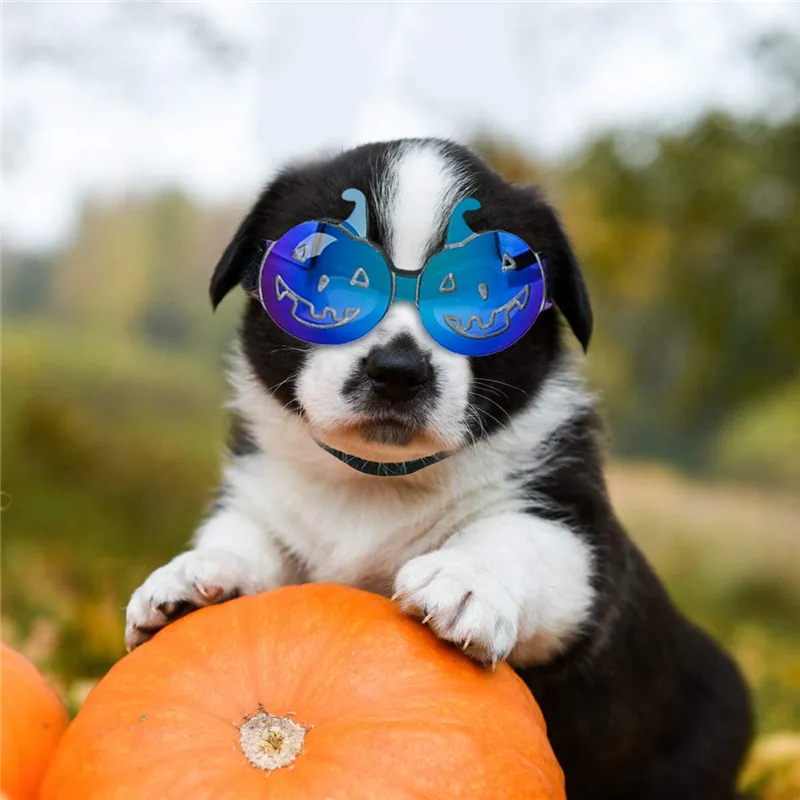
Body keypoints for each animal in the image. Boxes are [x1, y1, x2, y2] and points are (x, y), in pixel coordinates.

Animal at [123, 139, 752, 800]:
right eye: (325, 275)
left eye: (482, 291)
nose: (398, 371)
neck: (375, 481)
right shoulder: (265, 498)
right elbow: (246, 538)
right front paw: (194, 577)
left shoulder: (581, 553)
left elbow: (515, 535)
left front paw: (465, 578)